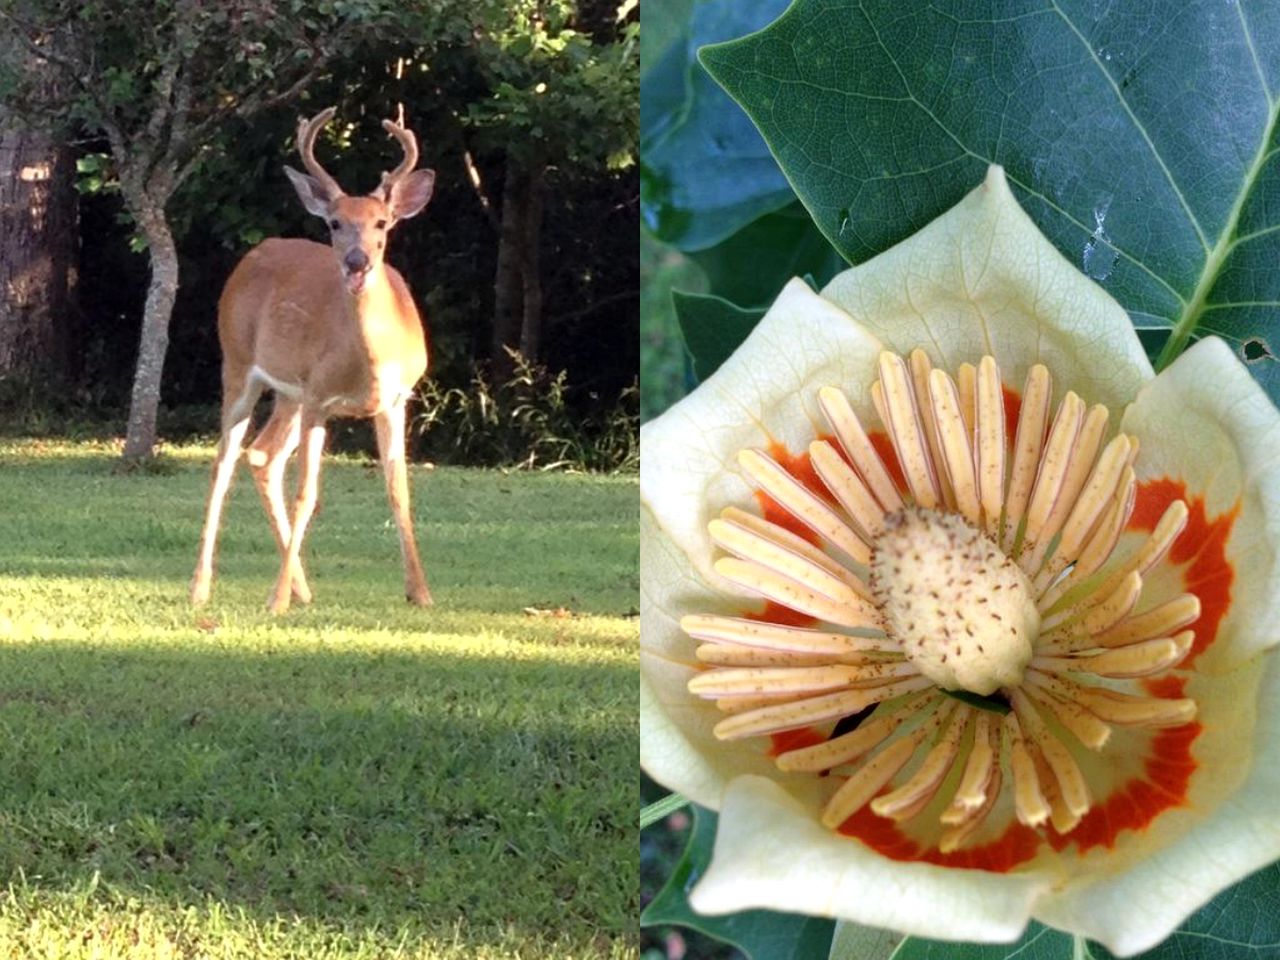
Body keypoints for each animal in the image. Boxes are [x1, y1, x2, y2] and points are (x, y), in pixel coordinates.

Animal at [189, 106, 437, 616]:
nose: (357, 262)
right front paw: (276, 599)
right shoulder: (320, 397)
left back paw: (301, 587)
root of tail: (254, 252)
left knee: (262, 456)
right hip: (238, 365)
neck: (369, 363)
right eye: (335, 224)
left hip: (289, 395)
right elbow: (308, 495)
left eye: (383, 223)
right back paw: (203, 587)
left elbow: (399, 492)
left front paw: (420, 592)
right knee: (223, 465)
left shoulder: (395, 400)